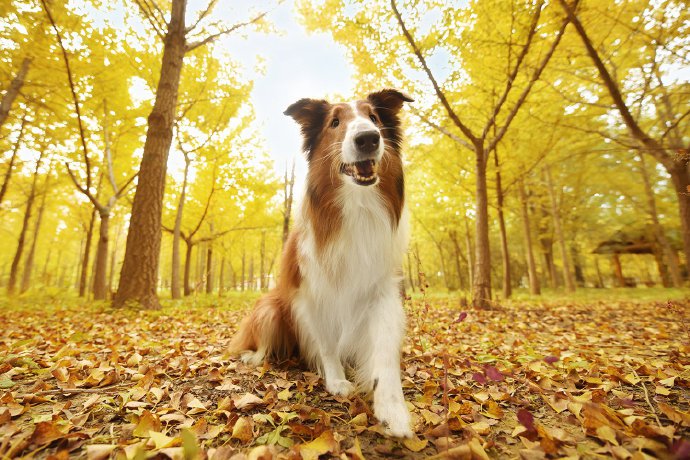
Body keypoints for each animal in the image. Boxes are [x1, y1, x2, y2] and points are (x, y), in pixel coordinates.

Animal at [231, 88, 414, 436]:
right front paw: (337, 380)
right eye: (335, 122)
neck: (355, 208)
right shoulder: (310, 293)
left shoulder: (381, 290)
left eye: (374, 118)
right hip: (270, 307)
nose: (368, 138)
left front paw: (392, 408)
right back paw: (254, 357)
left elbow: (385, 350)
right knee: (260, 343)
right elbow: (327, 343)